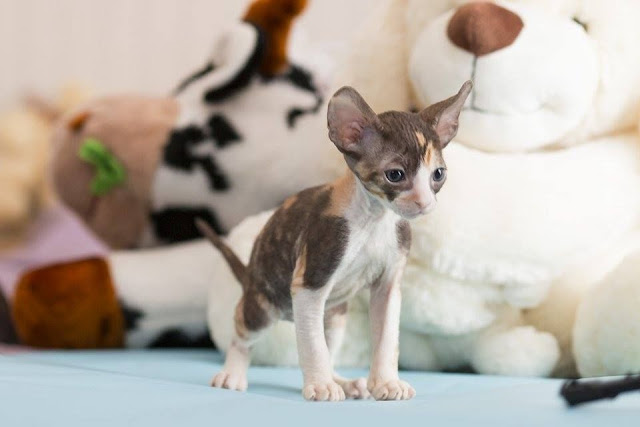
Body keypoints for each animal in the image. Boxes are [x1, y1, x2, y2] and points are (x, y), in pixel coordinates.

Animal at [198, 80, 472, 402]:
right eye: (395, 175)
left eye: (438, 175)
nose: (424, 203)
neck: (374, 219)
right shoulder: (311, 280)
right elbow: (313, 346)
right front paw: (320, 386)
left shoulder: (388, 287)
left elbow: (386, 338)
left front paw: (386, 382)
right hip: (265, 305)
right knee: (244, 332)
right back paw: (233, 374)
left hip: (335, 316)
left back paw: (343, 381)